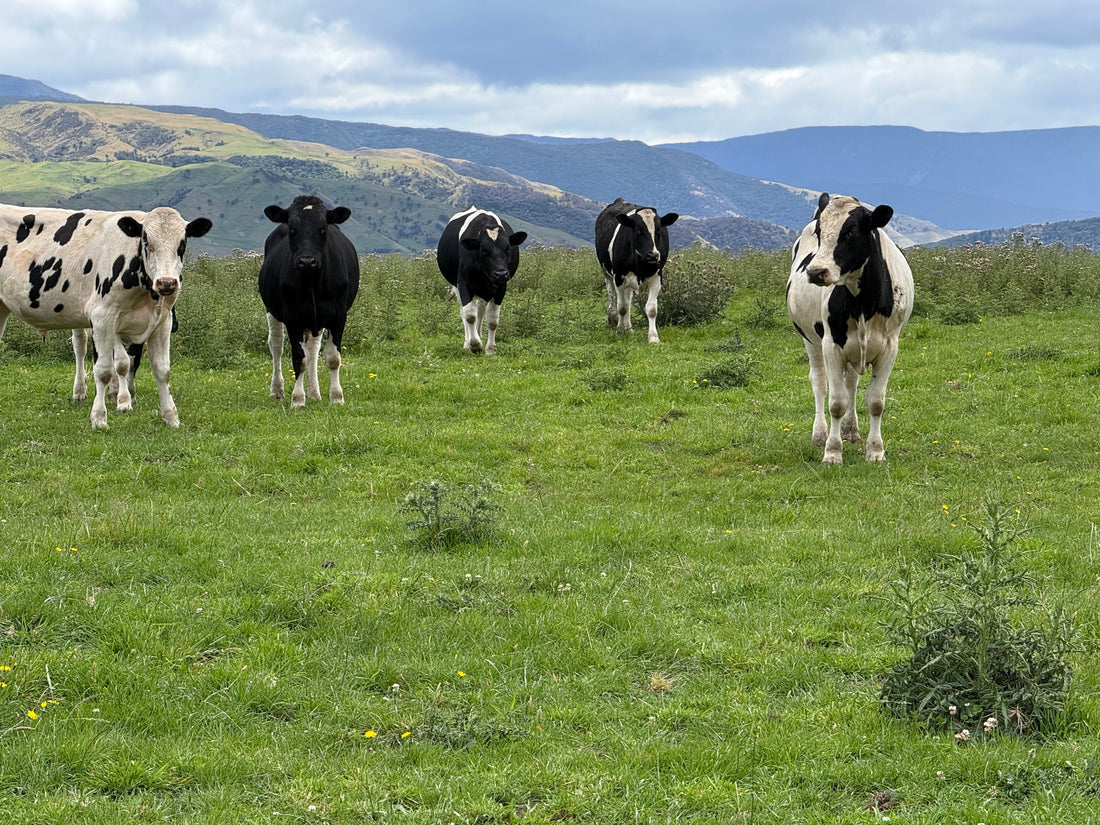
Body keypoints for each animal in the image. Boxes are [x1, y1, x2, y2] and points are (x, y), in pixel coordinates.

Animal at [0, 204, 212, 429]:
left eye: (182, 243)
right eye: (146, 242)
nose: (167, 282)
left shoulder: (162, 321)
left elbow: (162, 370)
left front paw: (170, 416)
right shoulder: (103, 318)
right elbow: (106, 369)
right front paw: (101, 416)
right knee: (82, 348)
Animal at [258, 195, 359, 407]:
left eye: (323, 227)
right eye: (291, 227)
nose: (307, 261)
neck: (312, 281)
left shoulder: (339, 315)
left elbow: (332, 357)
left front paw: (336, 397)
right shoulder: (292, 316)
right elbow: (299, 358)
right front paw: (297, 399)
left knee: (313, 349)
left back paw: (314, 392)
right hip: (272, 310)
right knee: (277, 345)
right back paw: (277, 390)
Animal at [437, 207, 527, 355]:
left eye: (508, 249)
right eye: (484, 250)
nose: (501, 273)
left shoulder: (501, 287)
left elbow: (492, 320)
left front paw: (490, 349)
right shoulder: (464, 284)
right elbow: (469, 315)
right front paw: (474, 345)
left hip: (484, 290)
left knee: (480, 309)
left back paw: (478, 334)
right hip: (457, 286)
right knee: (464, 312)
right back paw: (468, 342)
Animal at [595, 198, 679, 343]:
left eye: (658, 231)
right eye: (638, 231)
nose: (653, 255)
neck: (642, 265)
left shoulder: (657, 277)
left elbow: (651, 309)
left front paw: (653, 337)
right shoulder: (619, 276)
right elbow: (622, 307)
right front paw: (620, 330)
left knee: (628, 298)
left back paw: (628, 328)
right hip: (607, 273)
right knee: (613, 297)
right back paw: (614, 321)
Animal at [786, 193, 914, 465]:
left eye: (851, 232)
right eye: (820, 232)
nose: (816, 271)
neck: (862, 303)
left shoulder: (890, 347)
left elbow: (875, 401)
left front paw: (875, 450)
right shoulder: (831, 345)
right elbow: (836, 402)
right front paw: (832, 452)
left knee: (851, 383)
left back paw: (851, 429)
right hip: (810, 340)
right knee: (819, 382)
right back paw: (820, 434)